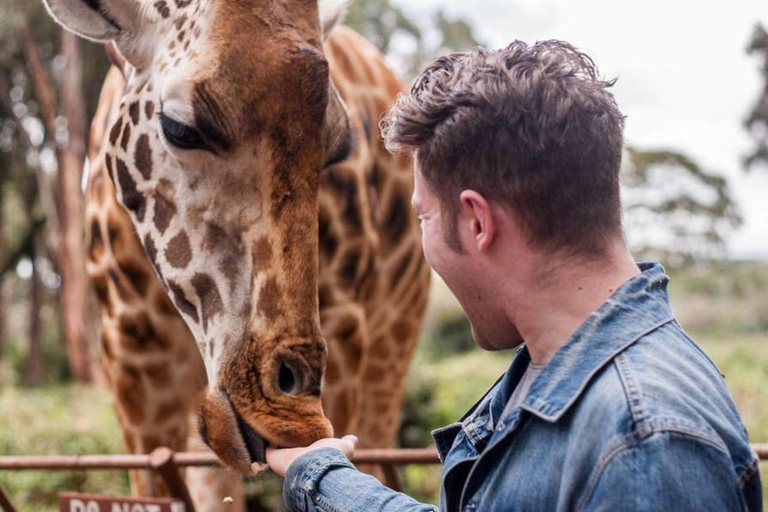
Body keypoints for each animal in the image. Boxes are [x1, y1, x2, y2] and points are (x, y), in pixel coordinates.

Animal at [46, 0, 432, 508]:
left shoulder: (349, 328)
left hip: (395, 339)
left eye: (336, 148)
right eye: (180, 127)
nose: (292, 420)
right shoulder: (128, 355)